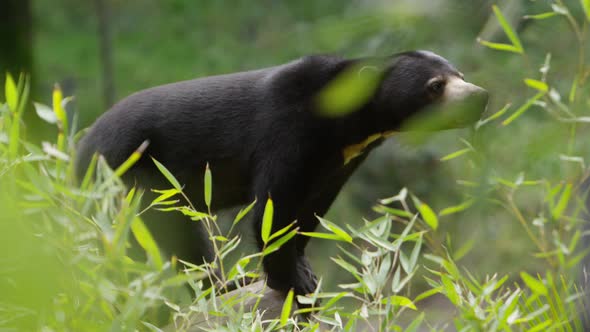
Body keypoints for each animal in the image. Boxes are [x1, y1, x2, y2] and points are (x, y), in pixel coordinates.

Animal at [75, 50, 490, 304]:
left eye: (460, 75)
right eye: (435, 86)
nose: (481, 95)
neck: (350, 128)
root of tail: (78, 152)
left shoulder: (338, 163)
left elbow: (309, 211)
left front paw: (304, 269)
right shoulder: (288, 129)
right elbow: (273, 207)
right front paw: (293, 284)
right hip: (130, 177)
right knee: (172, 235)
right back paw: (221, 286)